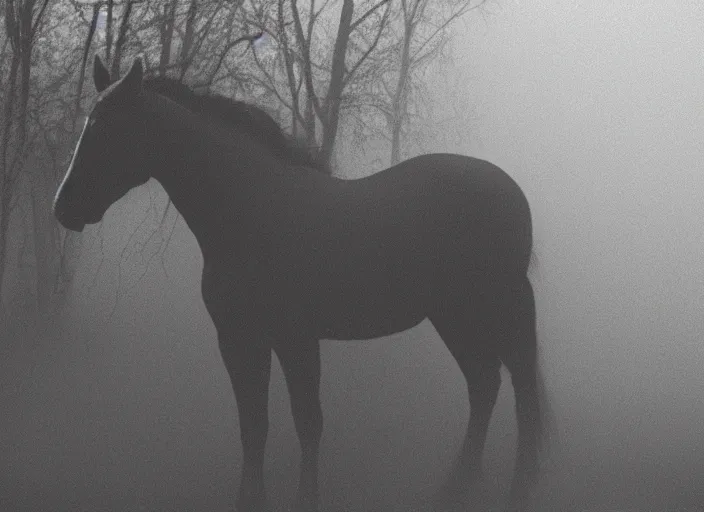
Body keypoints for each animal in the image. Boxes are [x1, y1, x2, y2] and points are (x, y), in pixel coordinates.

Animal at [53, 57, 552, 512]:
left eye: (107, 130)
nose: (64, 207)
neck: (251, 213)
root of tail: (511, 191)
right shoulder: (239, 340)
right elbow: (254, 427)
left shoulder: (296, 337)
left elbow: (307, 422)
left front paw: (306, 499)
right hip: (454, 317)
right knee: (484, 385)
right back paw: (456, 488)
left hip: (495, 308)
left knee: (522, 392)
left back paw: (516, 491)